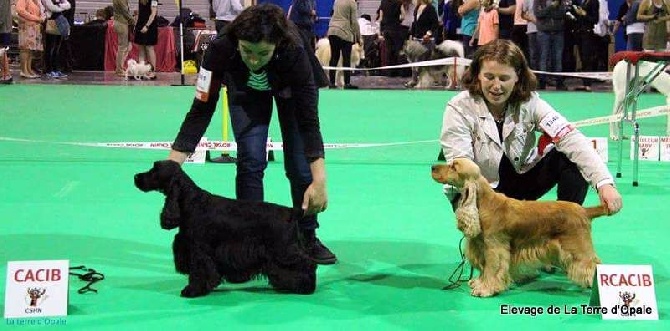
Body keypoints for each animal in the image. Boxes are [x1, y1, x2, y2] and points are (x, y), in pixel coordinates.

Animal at [135, 161, 318, 298]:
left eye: (154, 169)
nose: (136, 177)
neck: (191, 201)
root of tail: (291, 212)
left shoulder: (199, 249)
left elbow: (199, 270)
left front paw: (192, 290)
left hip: (283, 250)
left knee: (307, 263)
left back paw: (306, 286)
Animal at [434, 158, 612, 298]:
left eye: (454, 167)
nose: (432, 168)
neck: (485, 204)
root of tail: (584, 210)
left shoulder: (494, 247)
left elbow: (492, 268)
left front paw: (485, 289)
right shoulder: (482, 246)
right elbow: (485, 269)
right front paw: (479, 283)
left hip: (578, 246)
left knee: (593, 264)